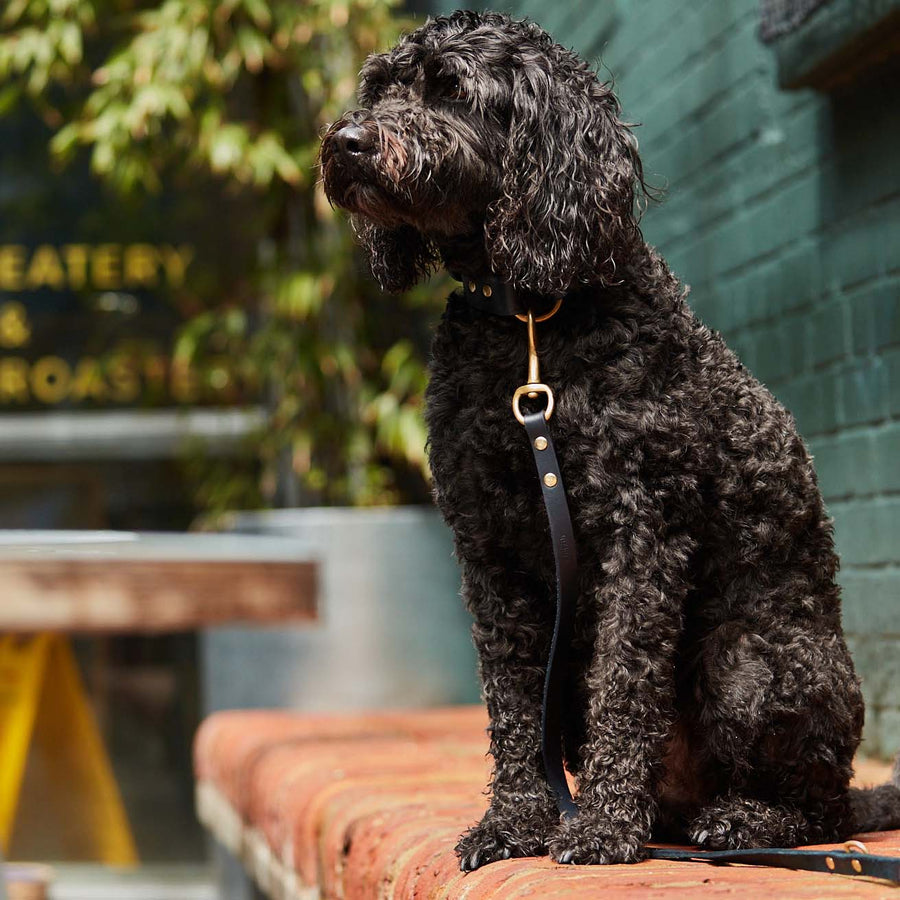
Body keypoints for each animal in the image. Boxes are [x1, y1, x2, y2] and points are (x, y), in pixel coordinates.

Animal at [322, 8, 900, 872]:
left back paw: (739, 822)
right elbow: (510, 704)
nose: (347, 140)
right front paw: (515, 824)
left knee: (822, 809)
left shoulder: (642, 531)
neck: (529, 319)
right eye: (380, 87)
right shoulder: (488, 549)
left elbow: (626, 687)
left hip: (748, 657)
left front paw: (601, 828)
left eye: (451, 90)